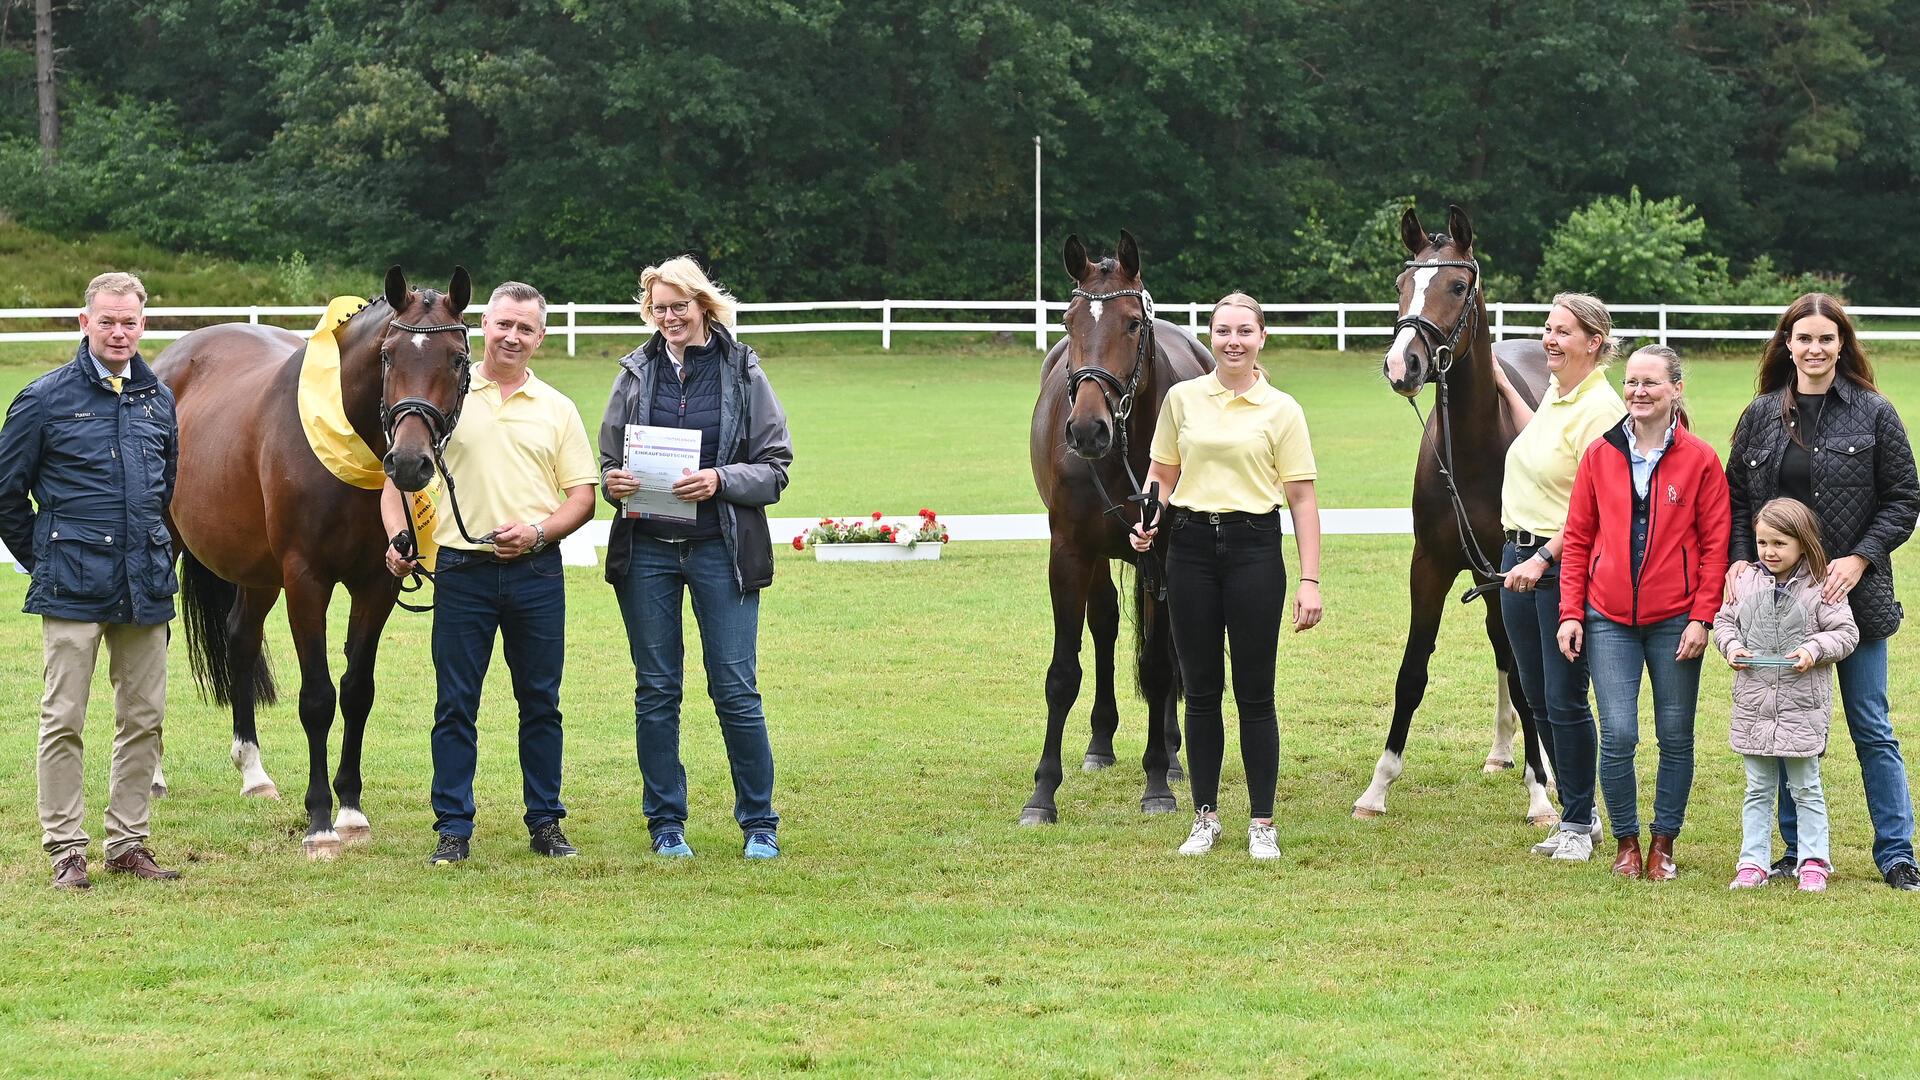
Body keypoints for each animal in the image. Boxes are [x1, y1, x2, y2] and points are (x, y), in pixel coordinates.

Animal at [153, 267, 472, 857]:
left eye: (458, 358)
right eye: (388, 355)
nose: (409, 463)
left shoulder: (377, 583)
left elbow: (357, 692)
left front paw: (350, 810)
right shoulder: (306, 580)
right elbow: (318, 698)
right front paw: (321, 820)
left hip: (257, 571)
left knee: (240, 638)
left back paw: (253, 773)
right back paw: (155, 775)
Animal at [1021, 231, 1213, 818]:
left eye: (1131, 322)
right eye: (1067, 322)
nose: (1087, 429)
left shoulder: (1163, 553)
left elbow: (1158, 667)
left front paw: (1157, 783)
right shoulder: (1070, 552)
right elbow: (1063, 672)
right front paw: (1042, 792)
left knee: (1167, 650)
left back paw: (1171, 757)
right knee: (1104, 623)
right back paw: (1101, 742)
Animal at [1351, 203, 1559, 822]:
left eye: (1458, 285)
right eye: (1401, 286)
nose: (1403, 364)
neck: (1472, 450)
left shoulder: (1513, 570)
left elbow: (1528, 673)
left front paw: (1541, 793)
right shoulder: (1431, 565)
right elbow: (1412, 670)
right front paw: (1377, 787)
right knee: (1504, 651)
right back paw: (1502, 751)